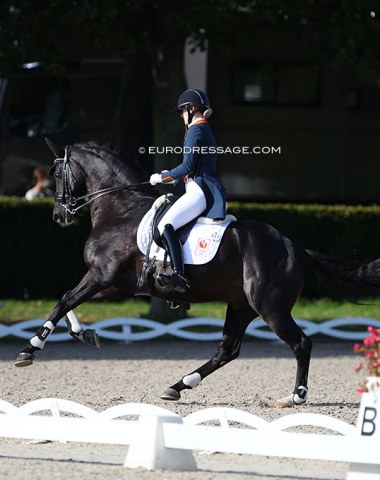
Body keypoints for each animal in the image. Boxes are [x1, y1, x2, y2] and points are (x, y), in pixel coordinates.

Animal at [16, 141, 380, 406]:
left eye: (56, 174)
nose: (59, 216)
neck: (118, 208)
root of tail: (293, 246)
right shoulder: (116, 284)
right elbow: (68, 302)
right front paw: (84, 334)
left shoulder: (102, 275)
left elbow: (63, 301)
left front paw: (29, 350)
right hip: (241, 306)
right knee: (227, 350)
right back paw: (179, 385)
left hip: (270, 308)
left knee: (301, 344)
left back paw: (295, 397)